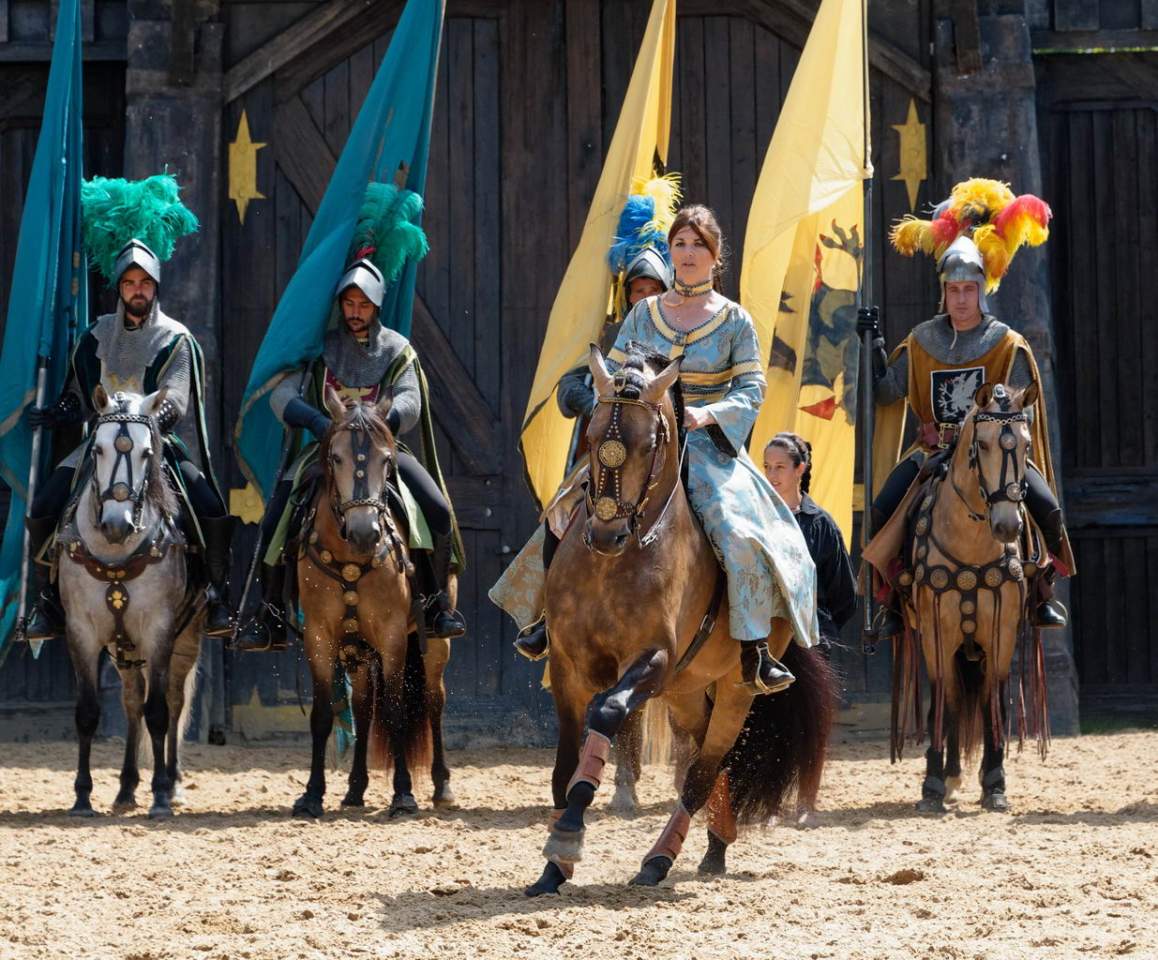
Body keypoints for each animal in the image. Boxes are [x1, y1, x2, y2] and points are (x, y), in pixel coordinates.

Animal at [56, 387, 203, 819]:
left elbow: (160, 713)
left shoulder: (159, 631)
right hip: (124, 648)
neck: (115, 553)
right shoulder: (82, 633)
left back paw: (171, 783)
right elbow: (88, 713)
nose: (116, 523)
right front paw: (82, 796)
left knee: (173, 700)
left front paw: (161, 796)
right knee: (132, 701)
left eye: (146, 451)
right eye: (98, 449)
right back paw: (125, 788)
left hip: (186, 638)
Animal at [290, 387, 456, 818]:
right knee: (363, 707)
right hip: (358, 650)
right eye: (335, 457)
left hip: (435, 643)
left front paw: (403, 793)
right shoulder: (318, 637)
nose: (366, 532)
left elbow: (396, 711)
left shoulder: (394, 636)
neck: (352, 558)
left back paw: (442, 785)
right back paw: (354, 788)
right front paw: (312, 794)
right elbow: (323, 714)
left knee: (434, 700)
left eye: (386, 459)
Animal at [526, 345, 836, 896]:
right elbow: (564, 766)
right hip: (686, 690)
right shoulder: (567, 666)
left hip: (734, 689)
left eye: (650, 443)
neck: (616, 564)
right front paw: (553, 865)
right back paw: (715, 845)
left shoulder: (651, 662)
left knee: (703, 769)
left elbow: (607, 713)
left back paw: (660, 860)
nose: (605, 534)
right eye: (592, 434)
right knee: (703, 755)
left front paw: (567, 837)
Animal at [893, 381, 1050, 813]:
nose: (1007, 525)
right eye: (982, 444)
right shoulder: (936, 632)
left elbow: (992, 697)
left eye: (1026, 445)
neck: (971, 546)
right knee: (948, 697)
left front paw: (995, 782)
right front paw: (933, 783)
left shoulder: (1002, 632)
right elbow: (942, 700)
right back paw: (948, 776)